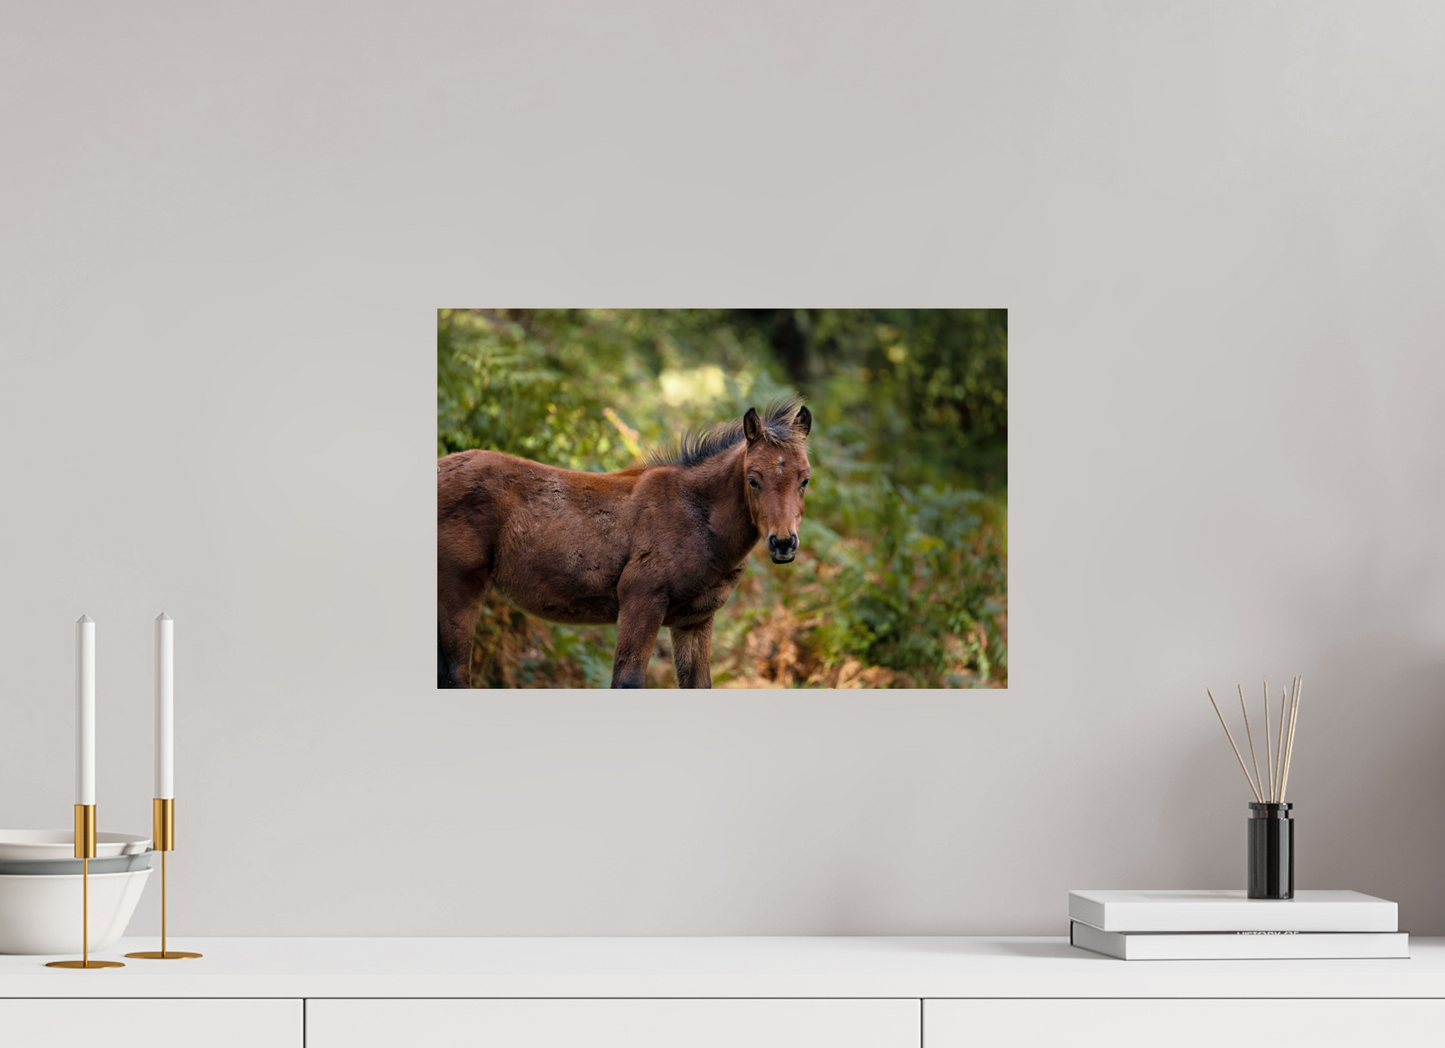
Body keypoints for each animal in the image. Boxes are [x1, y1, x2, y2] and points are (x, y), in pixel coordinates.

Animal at [437, 397, 813, 688]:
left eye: (805, 479)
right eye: (753, 480)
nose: (783, 543)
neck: (699, 519)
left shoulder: (696, 619)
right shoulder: (641, 600)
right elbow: (627, 681)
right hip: (459, 586)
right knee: (456, 674)